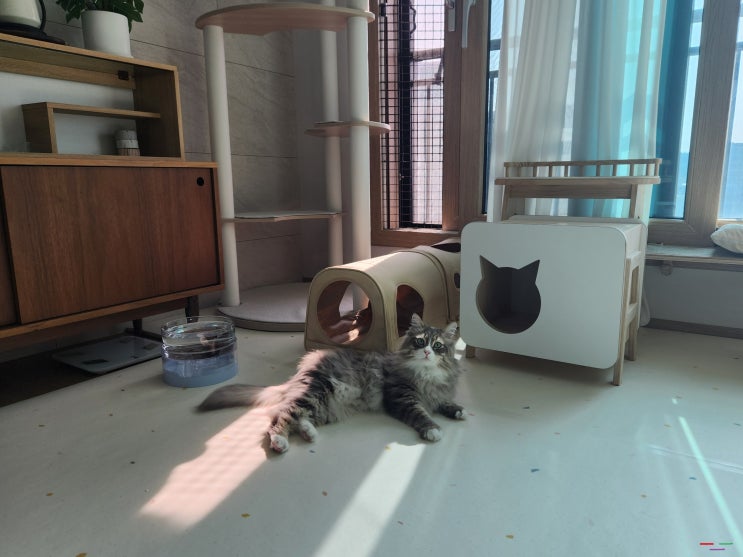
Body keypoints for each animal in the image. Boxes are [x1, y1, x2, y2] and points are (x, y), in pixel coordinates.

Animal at [197, 314, 466, 453]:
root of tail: (302, 372)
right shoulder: (402, 396)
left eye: (438, 346)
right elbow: (421, 413)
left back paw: (309, 433)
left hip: (324, 406)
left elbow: (444, 402)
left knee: (298, 418)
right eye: (420, 342)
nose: (428, 352)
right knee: (280, 418)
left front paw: (458, 411)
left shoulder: (438, 393)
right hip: (315, 393)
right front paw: (433, 429)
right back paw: (280, 442)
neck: (427, 375)